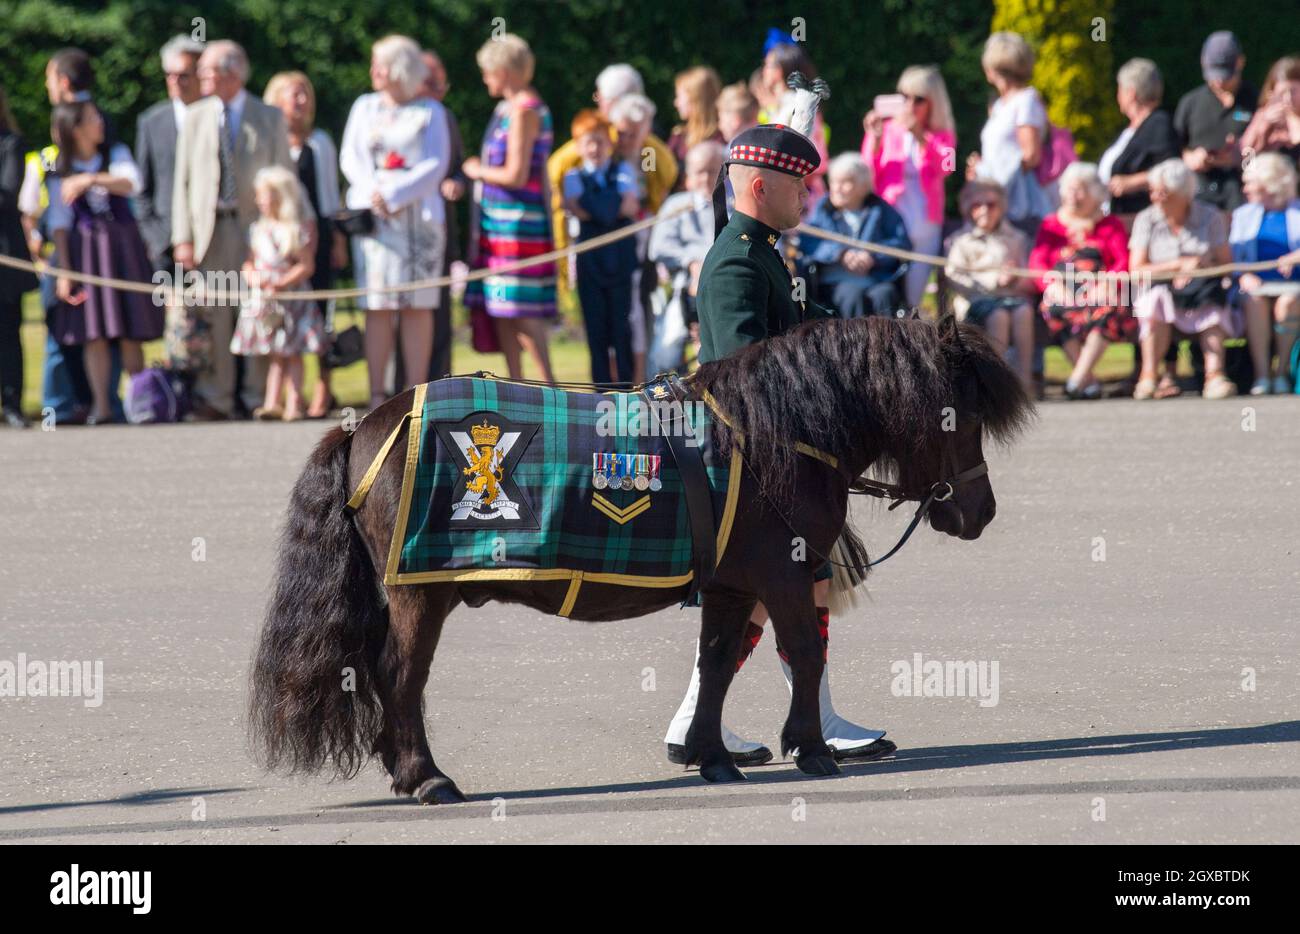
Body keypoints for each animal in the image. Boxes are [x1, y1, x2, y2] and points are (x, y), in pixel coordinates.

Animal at [248, 314, 1029, 806]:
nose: (980, 511)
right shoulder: (782, 576)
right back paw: (426, 776)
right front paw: (811, 748)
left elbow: (718, 662)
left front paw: (713, 755)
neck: (775, 432)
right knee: (399, 676)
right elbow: (805, 653)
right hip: (420, 592)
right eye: (960, 415)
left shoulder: (732, 585)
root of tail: (366, 426)